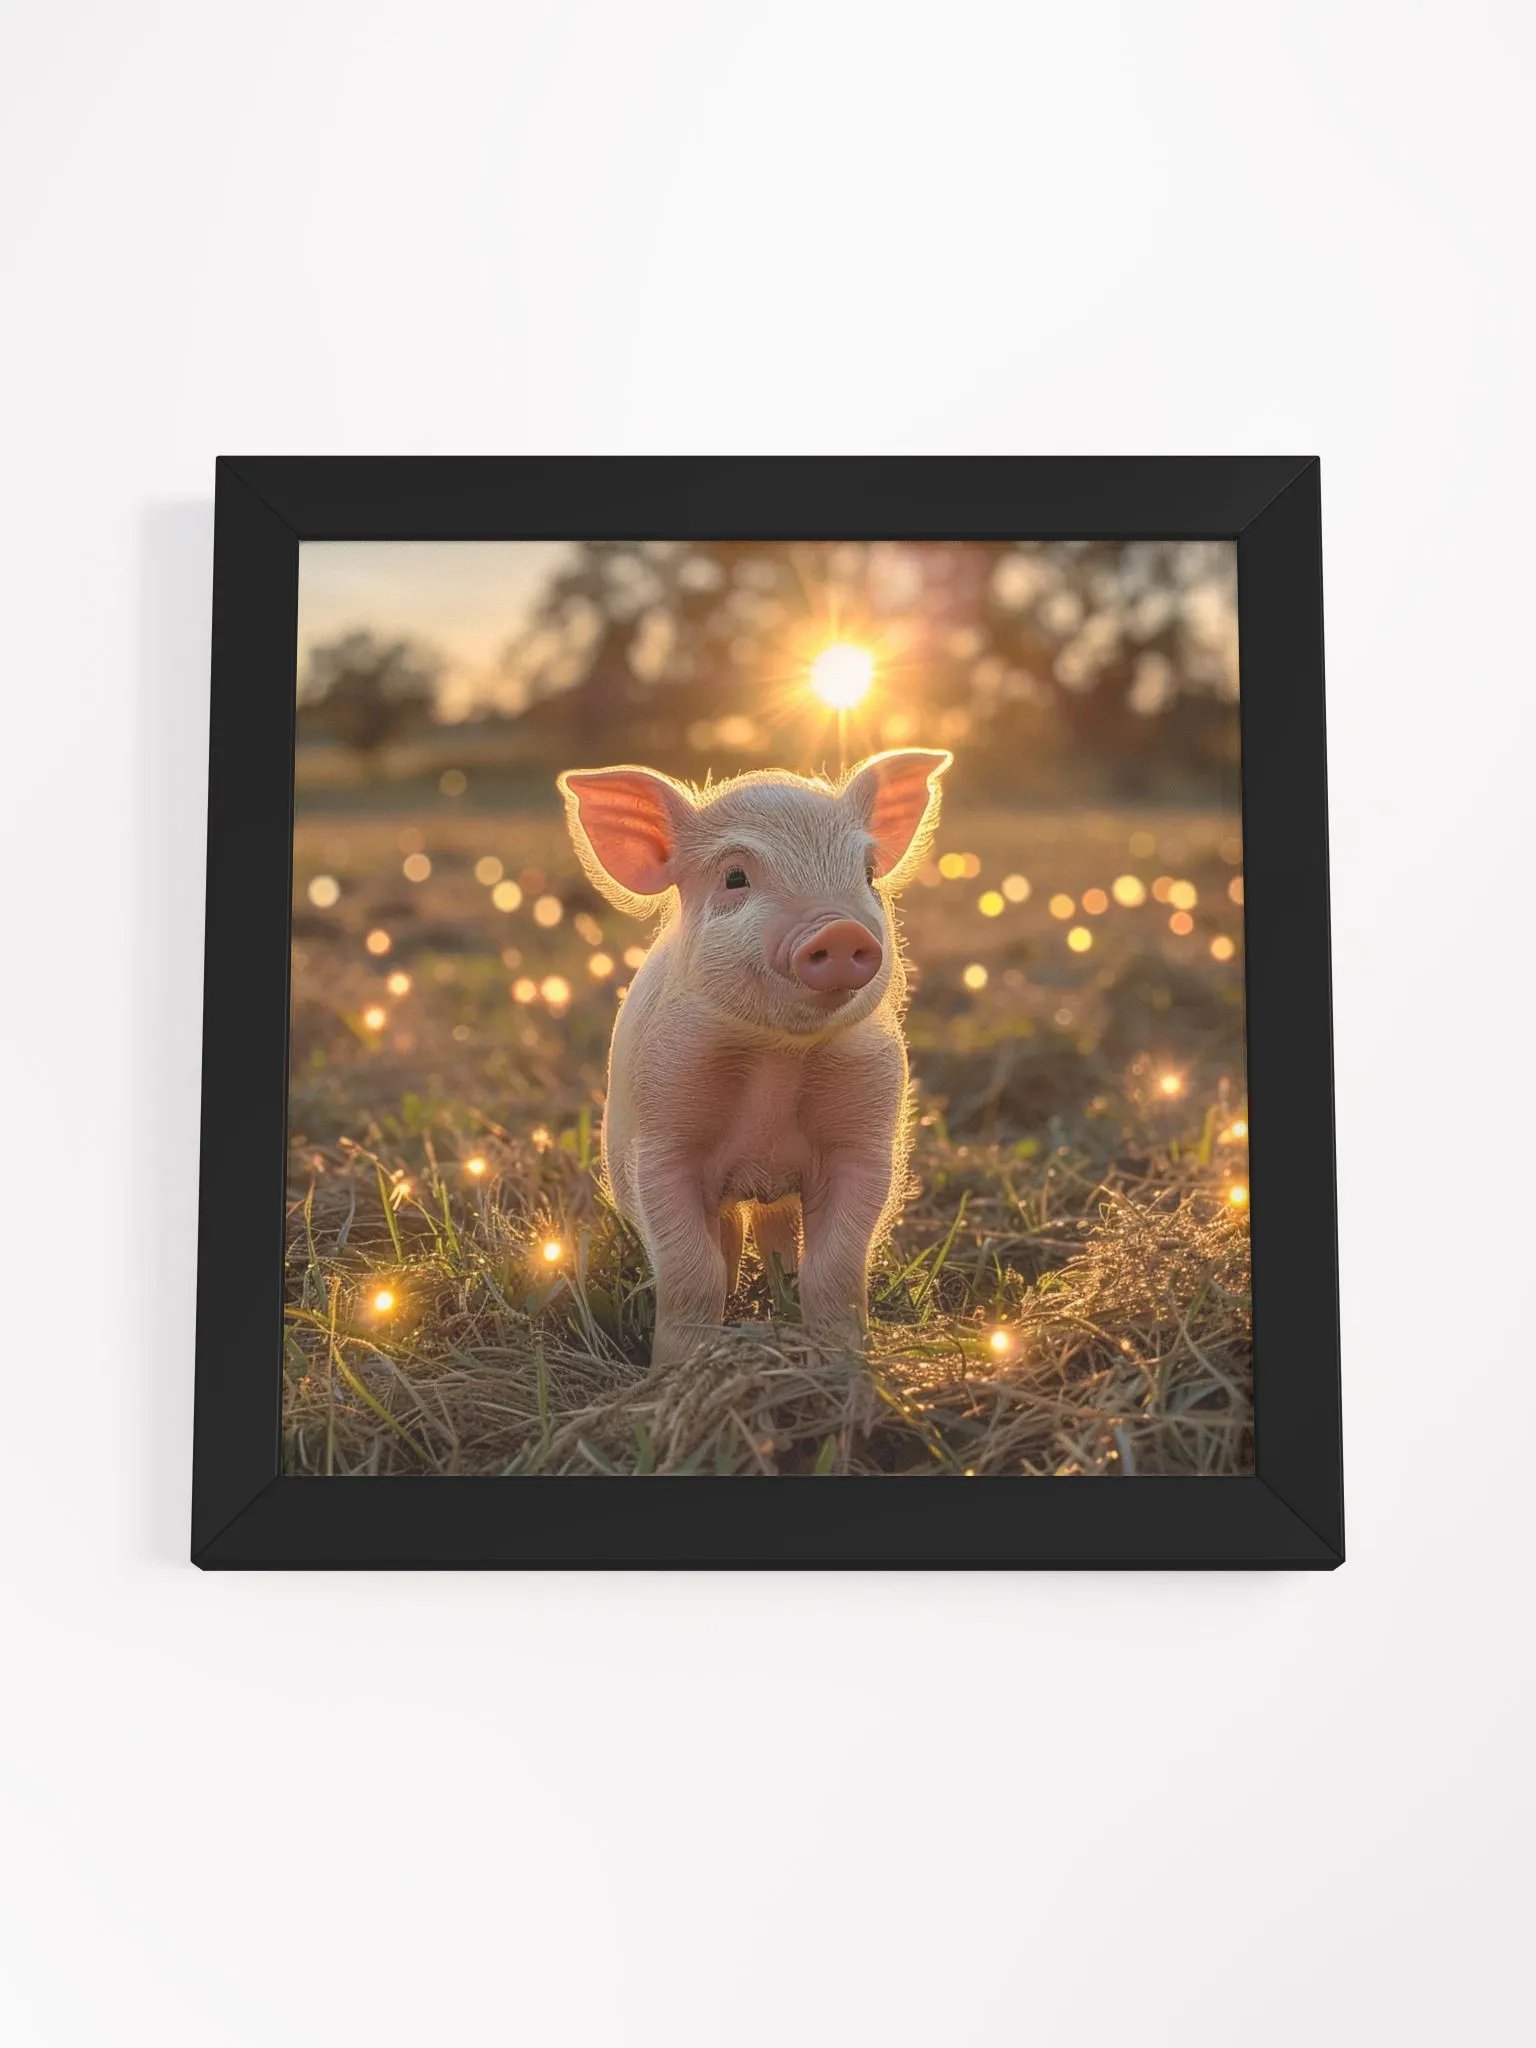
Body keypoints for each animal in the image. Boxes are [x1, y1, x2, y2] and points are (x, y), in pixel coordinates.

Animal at [557, 748, 953, 1366]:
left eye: (866, 873)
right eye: (735, 876)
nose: (841, 930)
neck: (776, 1058)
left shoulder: (866, 1144)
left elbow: (836, 1270)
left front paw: (841, 1360)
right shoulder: (661, 1146)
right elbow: (693, 1272)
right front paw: (677, 1369)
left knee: (777, 1236)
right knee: (728, 1240)